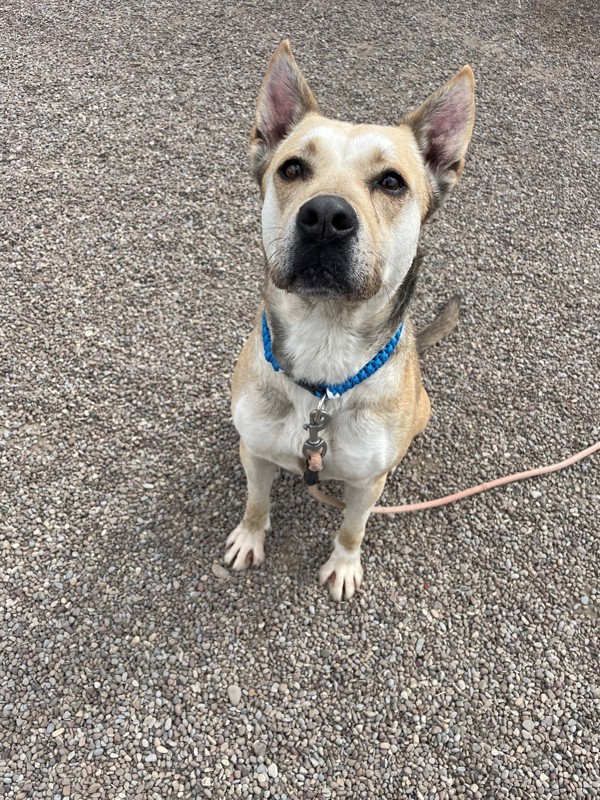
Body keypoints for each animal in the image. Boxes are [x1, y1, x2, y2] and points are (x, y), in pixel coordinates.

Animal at [225, 40, 474, 596]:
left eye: (391, 182)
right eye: (292, 169)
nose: (325, 217)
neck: (325, 340)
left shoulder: (365, 484)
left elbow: (352, 526)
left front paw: (343, 565)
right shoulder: (253, 450)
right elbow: (255, 502)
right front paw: (250, 537)